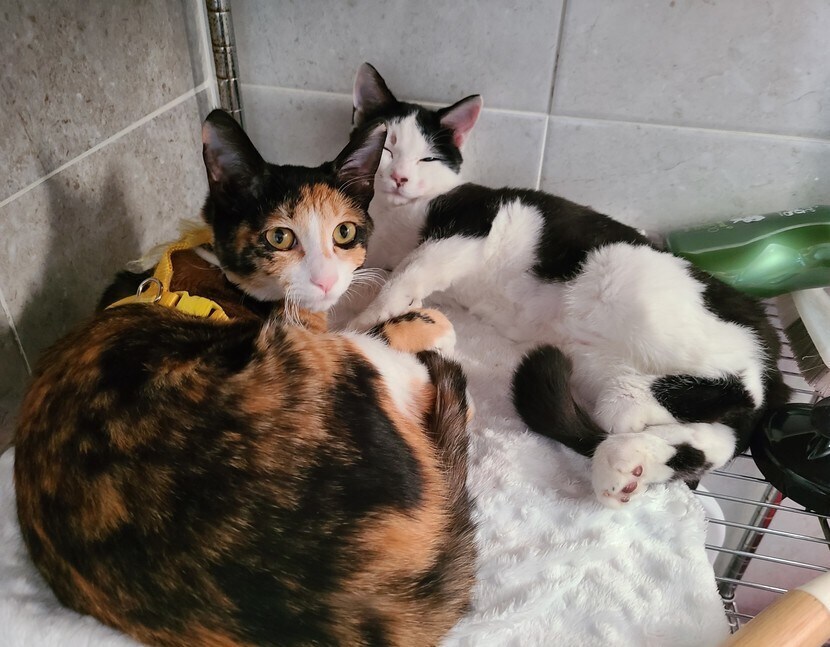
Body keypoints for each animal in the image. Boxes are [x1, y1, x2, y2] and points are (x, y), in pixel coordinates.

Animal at [346, 63, 791, 507]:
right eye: (387, 147)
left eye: (428, 157)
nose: (400, 177)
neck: (398, 215)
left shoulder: (472, 224)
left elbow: (410, 270)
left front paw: (370, 320)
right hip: (602, 365)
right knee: (715, 438)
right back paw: (629, 462)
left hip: (643, 294)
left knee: (734, 393)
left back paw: (636, 406)